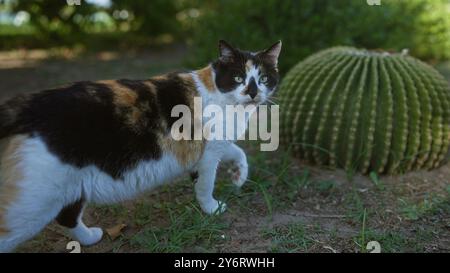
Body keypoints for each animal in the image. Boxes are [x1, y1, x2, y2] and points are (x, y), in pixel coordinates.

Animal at [0, 39, 282, 251]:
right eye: (238, 77)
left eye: (264, 79)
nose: (253, 92)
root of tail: (25, 106)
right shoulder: (209, 154)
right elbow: (205, 185)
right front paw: (212, 209)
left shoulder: (214, 146)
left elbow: (238, 151)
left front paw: (238, 176)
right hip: (33, 204)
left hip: (70, 185)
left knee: (67, 216)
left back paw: (90, 238)